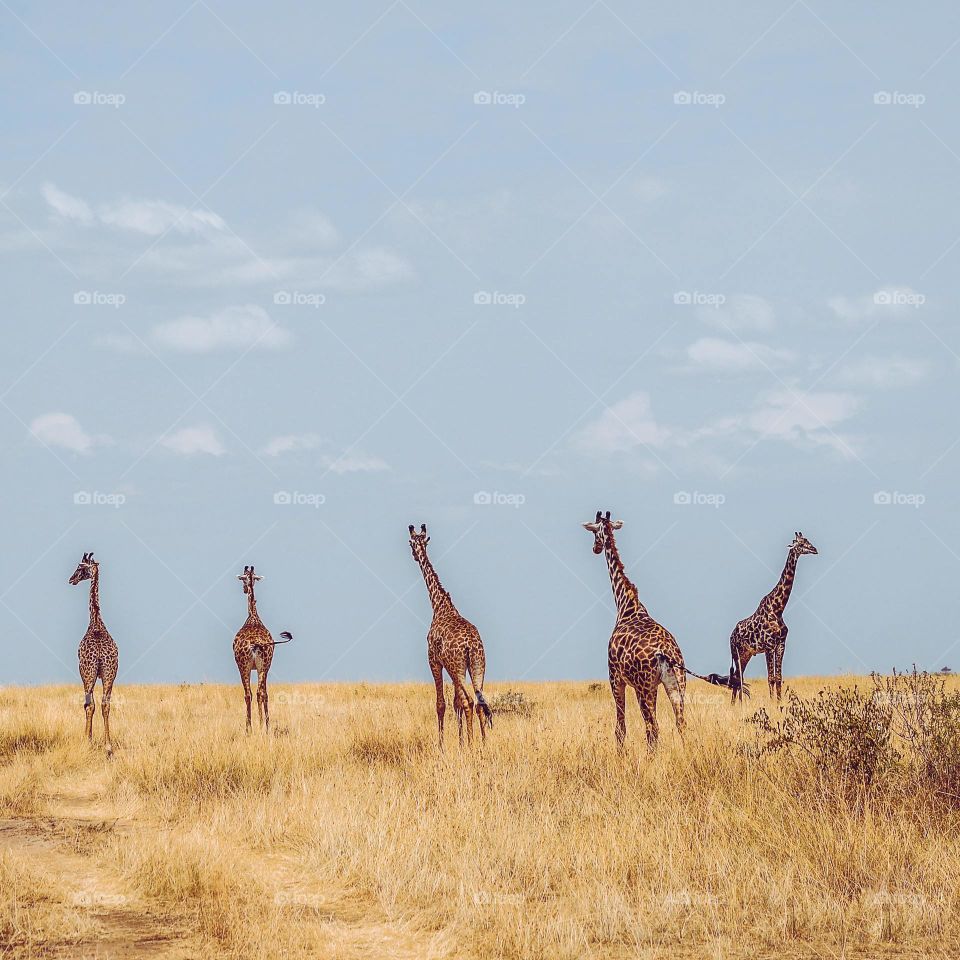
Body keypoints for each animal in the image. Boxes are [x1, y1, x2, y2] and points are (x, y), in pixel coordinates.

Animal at [233, 565, 293, 732]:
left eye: (243, 579)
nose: (244, 589)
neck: (253, 616)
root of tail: (255, 645)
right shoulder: (265, 666)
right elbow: (264, 693)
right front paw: (264, 725)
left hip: (245, 666)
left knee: (250, 694)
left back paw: (251, 728)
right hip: (261, 665)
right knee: (259, 693)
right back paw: (261, 726)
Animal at [408, 524, 492, 748]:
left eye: (411, 543)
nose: (415, 556)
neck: (439, 605)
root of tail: (470, 645)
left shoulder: (434, 660)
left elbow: (442, 704)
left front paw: (443, 746)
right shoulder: (450, 666)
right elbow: (455, 703)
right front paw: (460, 744)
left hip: (458, 666)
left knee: (469, 701)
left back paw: (472, 745)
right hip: (478, 664)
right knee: (479, 702)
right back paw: (483, 743)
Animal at [582, 511, 686, 749]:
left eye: (594, 532)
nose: (595, 548)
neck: (626, 605)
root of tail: (666, 653)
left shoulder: (615, 678)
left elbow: (620, 729)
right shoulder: (654, 685)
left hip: (643, 686)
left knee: (653, 727)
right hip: (676, 683)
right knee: (681, 723)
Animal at [729, 532, 818, 703]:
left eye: (808, 540)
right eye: (800, 544)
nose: (815, 549)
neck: (778, 609)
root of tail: (731, 635)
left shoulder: (781, 644)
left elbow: (778, 677)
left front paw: (779, 702)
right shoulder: (769, 645)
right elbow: (770, 678)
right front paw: (772, 703)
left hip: (746, 654)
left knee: (738, 677)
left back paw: (736, 705)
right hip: (736, 653)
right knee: (737, 678)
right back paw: (736, 704)